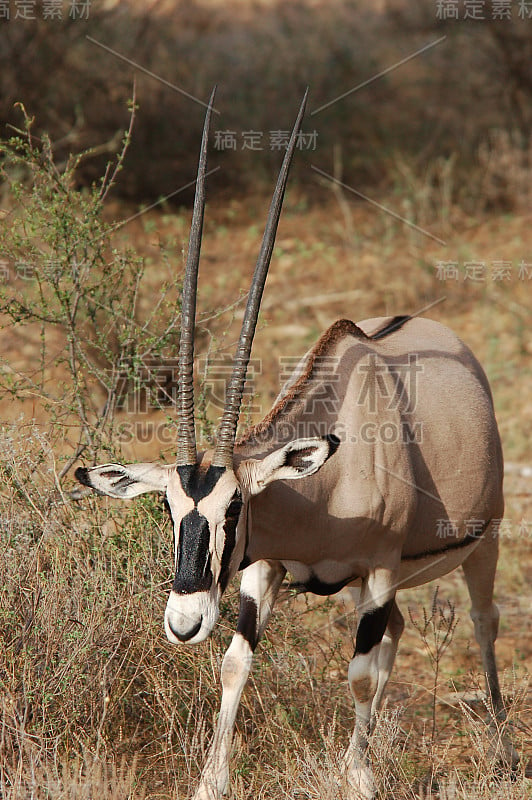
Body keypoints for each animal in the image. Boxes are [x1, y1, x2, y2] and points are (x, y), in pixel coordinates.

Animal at [75, 90, 516, 796]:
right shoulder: (266, 569)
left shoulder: (380, 569)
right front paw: (212, 781)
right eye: (169, 508)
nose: (184, 622)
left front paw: (357, 777)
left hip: (484, 541)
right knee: (398, 631)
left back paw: (501, 746)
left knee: (483, 622)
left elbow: (358, 674)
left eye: (234, 507)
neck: (325, 486)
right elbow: (235, 664)